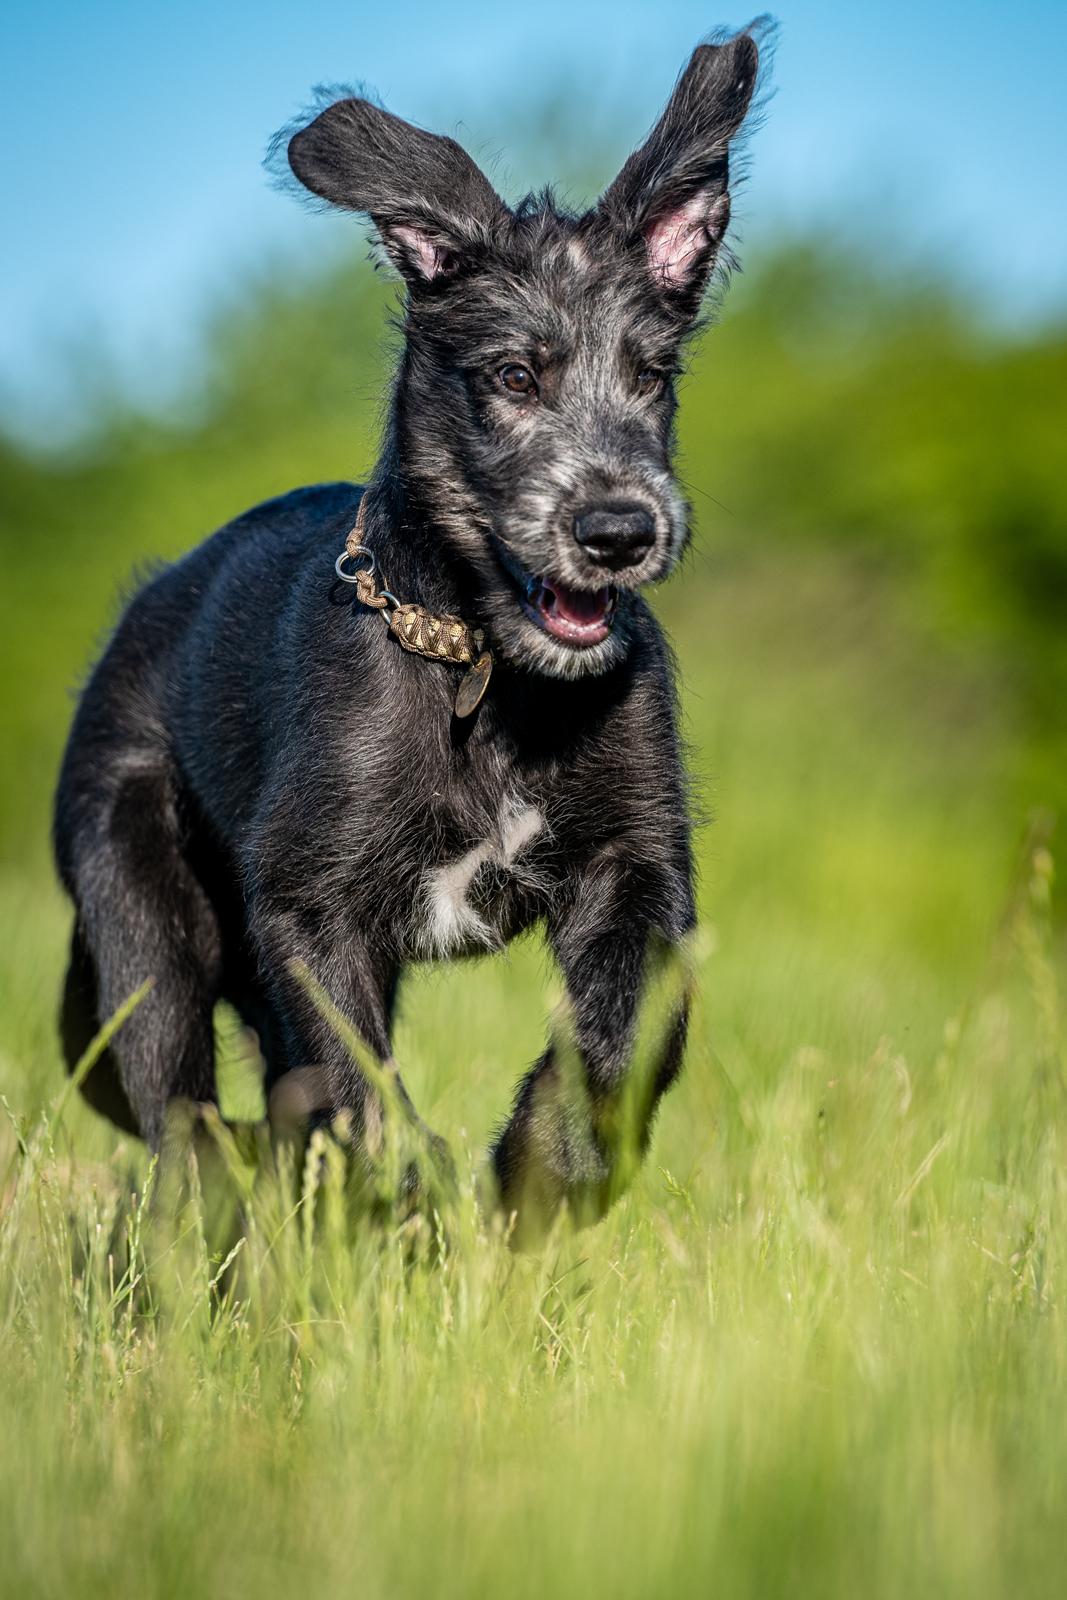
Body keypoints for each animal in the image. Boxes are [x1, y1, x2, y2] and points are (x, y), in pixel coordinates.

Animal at [54, 31, 764, 1235]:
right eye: (514, 376)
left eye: (650, 375)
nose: (619, 530)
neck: (487, 676)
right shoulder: (308, 910)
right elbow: (356, 1082)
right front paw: (412, 1208)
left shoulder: (636, 868)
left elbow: (629, 1032)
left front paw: (544, 1169)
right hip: (140, 902)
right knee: (181, 1115)